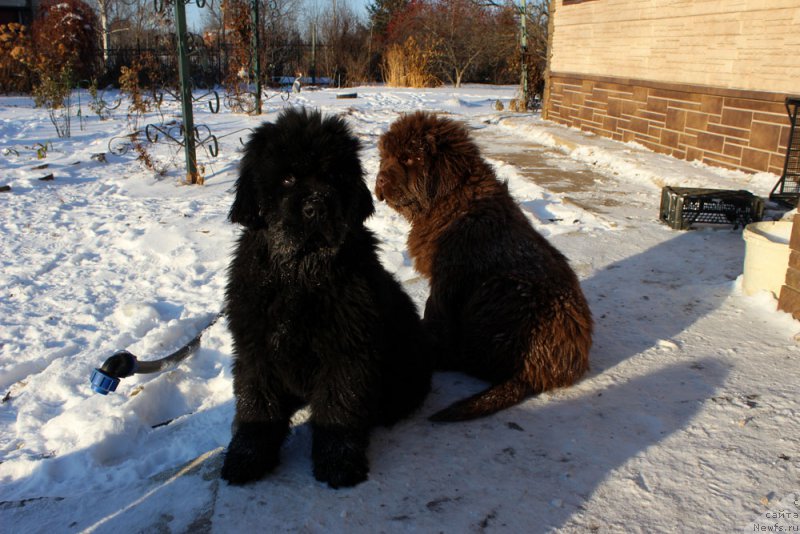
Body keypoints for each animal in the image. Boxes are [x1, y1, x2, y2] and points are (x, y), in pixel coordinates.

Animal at [220, 108, 432, 490]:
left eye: (334, 177)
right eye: (287, 179)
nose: (317, 206)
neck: (300, 273)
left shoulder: (346, 349)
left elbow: (338, 406)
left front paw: (339, 464)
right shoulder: (255, 345)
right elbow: (256, 404)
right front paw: (246, 457)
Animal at [376, 113, 592, 422]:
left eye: (408, 158)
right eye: (386, 157)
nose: (379, 178)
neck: (452, 200)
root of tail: (539, 375)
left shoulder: (448, 277)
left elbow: (434, 311)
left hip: (500, 289)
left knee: (475, 360)